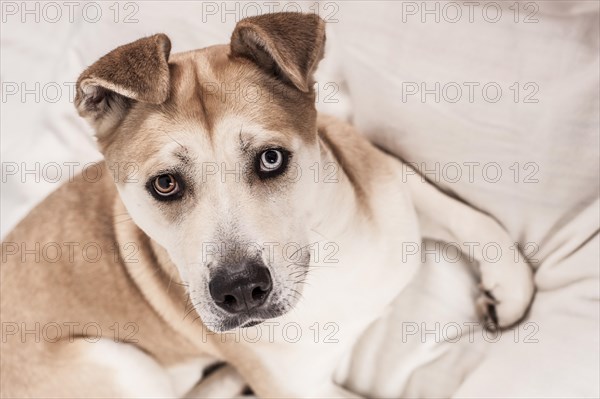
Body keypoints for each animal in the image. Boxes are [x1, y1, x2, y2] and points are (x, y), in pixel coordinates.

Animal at [0, 12, 536, 399]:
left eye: (271, 158)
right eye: (165, 185)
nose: (239, 291)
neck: (326, 255)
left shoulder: (385, 177)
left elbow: (468, 216)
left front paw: (510, 286)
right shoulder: (302, 392)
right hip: (119, 366)